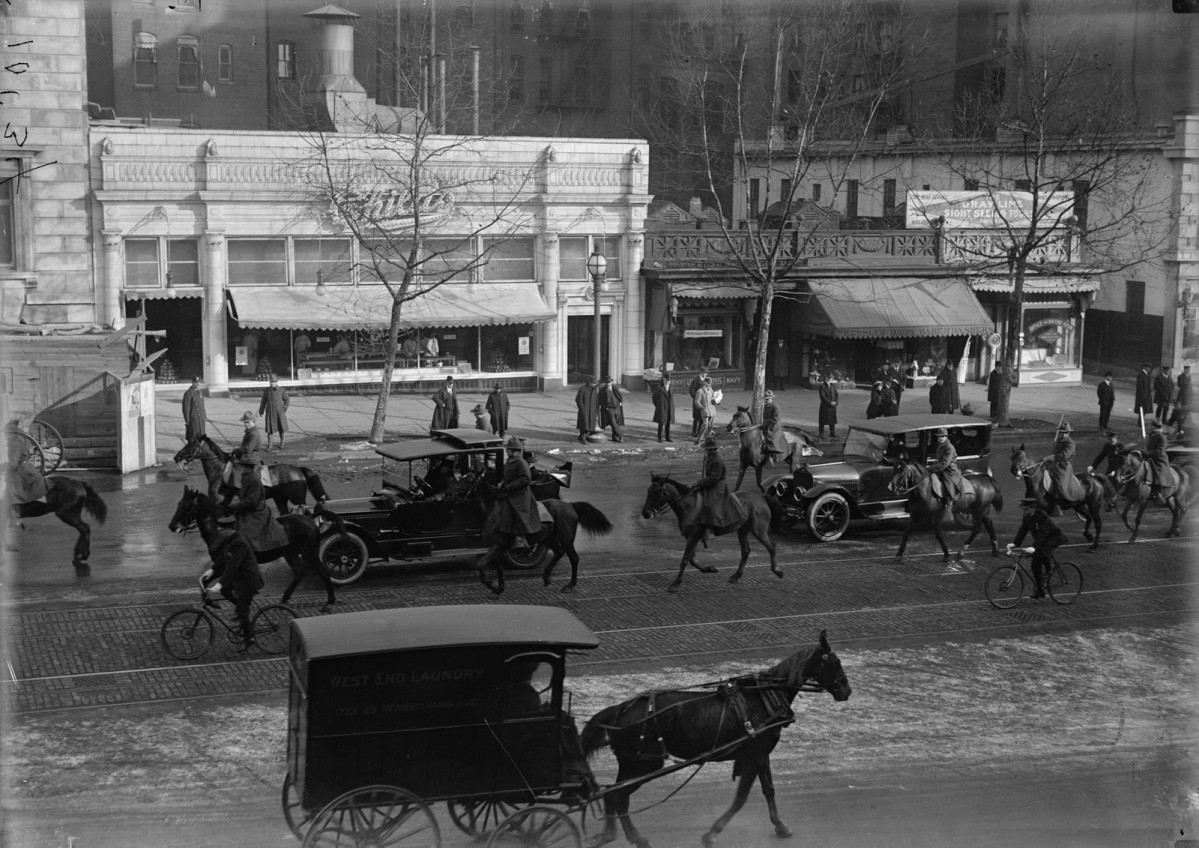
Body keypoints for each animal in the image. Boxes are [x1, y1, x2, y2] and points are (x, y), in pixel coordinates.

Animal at [167, 484, 342, 609]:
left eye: (186, 506)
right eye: (179, 504)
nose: (172, 526)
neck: (220, 531)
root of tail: (311, 519)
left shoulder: (227, 564)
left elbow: (226, 589)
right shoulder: (222, 565)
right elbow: (206, 583)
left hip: (308, 552)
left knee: (323, 572)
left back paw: (330, 600)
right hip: (291, 553)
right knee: (299, 573)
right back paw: (285, 598)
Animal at [173, 441, 328, 513]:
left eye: (191, 444)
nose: (176, 457)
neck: (220, 469)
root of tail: (298, 469)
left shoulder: (218, 500)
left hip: (297, 499)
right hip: (280, 499)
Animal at [472, 477, 613, 597]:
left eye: (468, 480)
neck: (495, 513)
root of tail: (569, 505)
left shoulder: (497, 546)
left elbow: (480, 564)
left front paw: (491, 585)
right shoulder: (498, 548)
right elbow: (499, 569)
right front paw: (498, 588)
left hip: (566, 540)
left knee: (573, 558)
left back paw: (569, 585)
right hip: (548, 538)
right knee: (559, 552)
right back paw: (546, 577)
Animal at [580, 628, 853, 848]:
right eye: (835, 662)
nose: (847, 690)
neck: (765, 696)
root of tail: (621, 710)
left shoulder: (759, 754)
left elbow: (769, 790)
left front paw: (780, 826)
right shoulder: (755, 755)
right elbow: (741, 798)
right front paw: (712, 833)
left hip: (632, 764)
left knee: (613, 795)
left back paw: (613, 834)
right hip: (645, 764)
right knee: (617, 795)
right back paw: (630, 837)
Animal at [642, 470, 781, 590]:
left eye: (658, 491)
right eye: (648, 490)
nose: (645, 513)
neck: (688, 506)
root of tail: (762, 498)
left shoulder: (694, 536)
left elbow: (685, 559)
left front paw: (676, 583)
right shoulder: (691, 537)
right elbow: (691, 559)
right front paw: (709, 569)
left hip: (758, 530)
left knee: (771, 547)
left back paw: (777, 570)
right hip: (743, 530)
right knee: (746, 551)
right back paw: (736, 576)